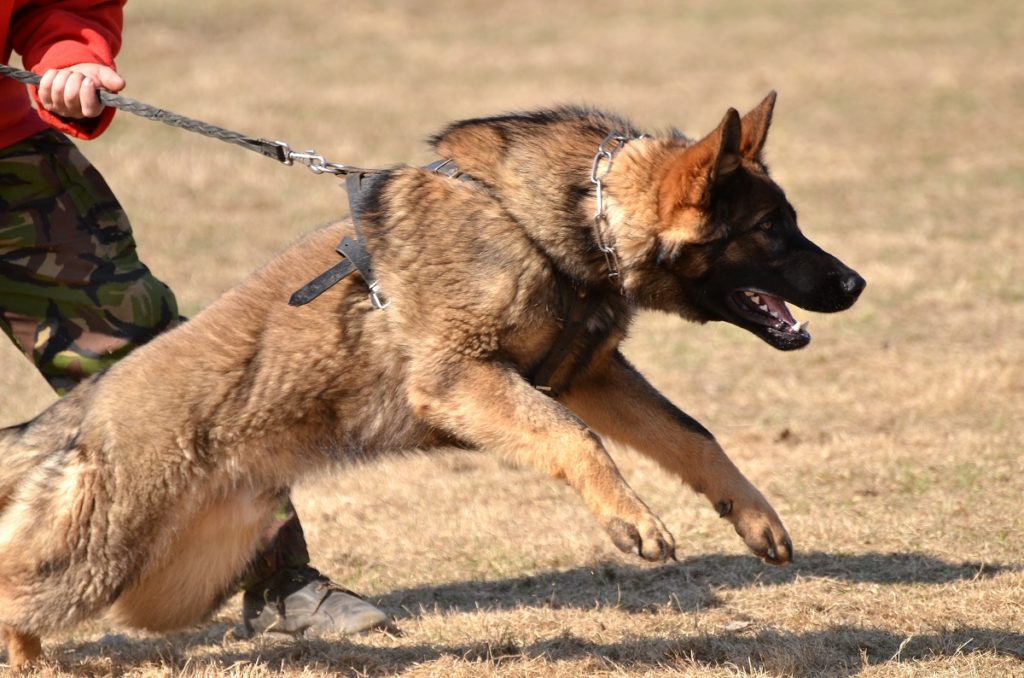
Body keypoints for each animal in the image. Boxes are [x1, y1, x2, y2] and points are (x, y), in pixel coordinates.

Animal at [0, 93, 864, 667]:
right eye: (771, 231)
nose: (855, 284)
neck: (577, 217)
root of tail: (89, 406)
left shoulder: (588, 373)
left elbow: (691, 434)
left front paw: (754, 517)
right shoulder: (465, 376)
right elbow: (577, 440)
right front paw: (633, 521)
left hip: (172, 579)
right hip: (103, 557)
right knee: (15, 583)